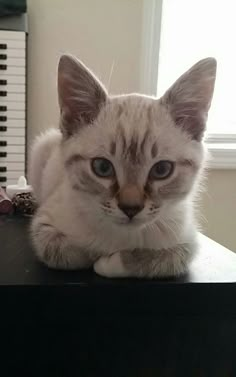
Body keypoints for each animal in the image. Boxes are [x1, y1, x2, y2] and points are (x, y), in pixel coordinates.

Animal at [28, 54, 217, 278]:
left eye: (162, 170)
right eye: (102, 167)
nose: (130, 208)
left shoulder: (187, 242)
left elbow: (157, 260)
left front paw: (107, 262)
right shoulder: (43, 225)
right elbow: (67, 254)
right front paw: (94, 254)